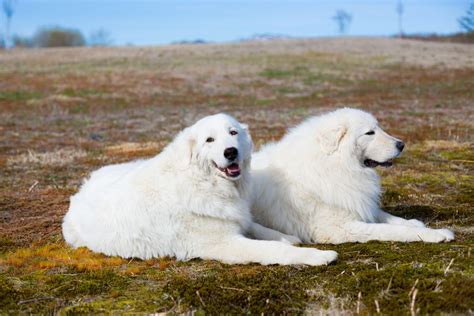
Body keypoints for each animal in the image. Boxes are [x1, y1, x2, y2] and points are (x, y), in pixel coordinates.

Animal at [63, 112, 336, 266]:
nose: (231, 152)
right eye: (209, 140)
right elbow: (271, 249)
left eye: (233, 132)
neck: (202, 182)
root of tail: (80, 191)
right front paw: (317, 256)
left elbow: (257, 227)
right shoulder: (223, 244)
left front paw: (287, 237)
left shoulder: (236, 218)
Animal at [252, 108, 456, 244]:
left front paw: (415, 224)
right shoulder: (341, 227)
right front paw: (435, 234)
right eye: (369, 133)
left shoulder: (356, 202)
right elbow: (391, 230)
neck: (333, 164)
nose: (401, 144)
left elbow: (388, 217)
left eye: (378, 128)